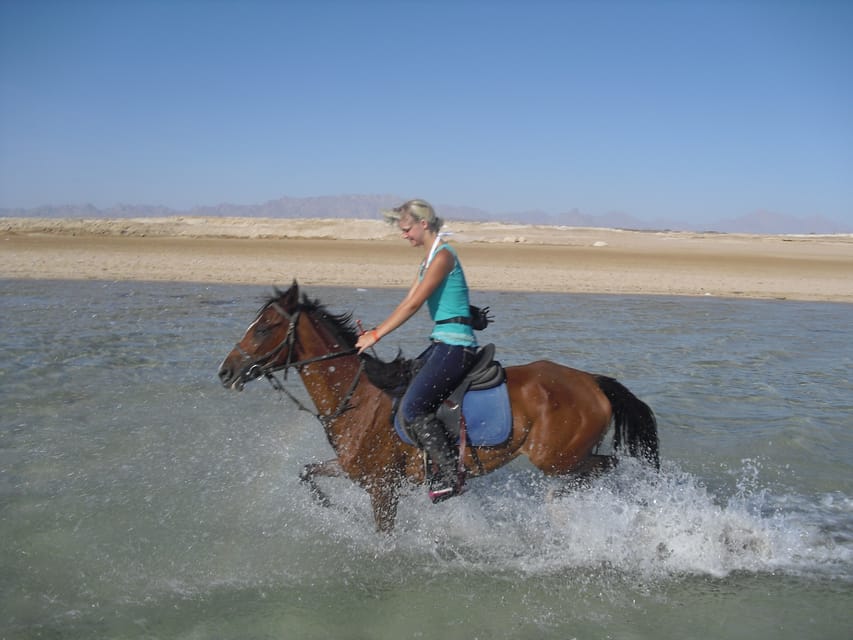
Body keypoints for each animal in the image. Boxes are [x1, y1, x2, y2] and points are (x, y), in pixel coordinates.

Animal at [216, 282, 656, 532]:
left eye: (264, 328)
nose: (225, 371)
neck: (357, 398)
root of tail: (592, 381)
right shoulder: (355, 472)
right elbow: (306, 474)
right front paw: (335, 510)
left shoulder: (382, 489)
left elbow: (384, 537)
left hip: (556, 456)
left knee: (604, 467)